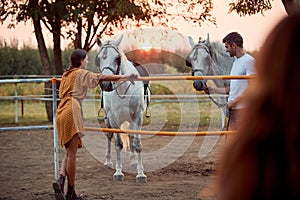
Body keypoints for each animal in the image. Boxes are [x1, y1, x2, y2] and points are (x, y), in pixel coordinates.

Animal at [95, 34, 148, 183]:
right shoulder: (113, 119)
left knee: (130, 135)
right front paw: (118, 173)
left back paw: (133, 160)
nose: (106, 84)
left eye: (117, 58)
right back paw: (108, 162)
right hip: (108, 120)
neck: (123, 89)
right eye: (99, 58)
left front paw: (140, 173)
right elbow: (118, 144)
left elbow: (137, 144)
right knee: (109, 137)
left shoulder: (137, 117)